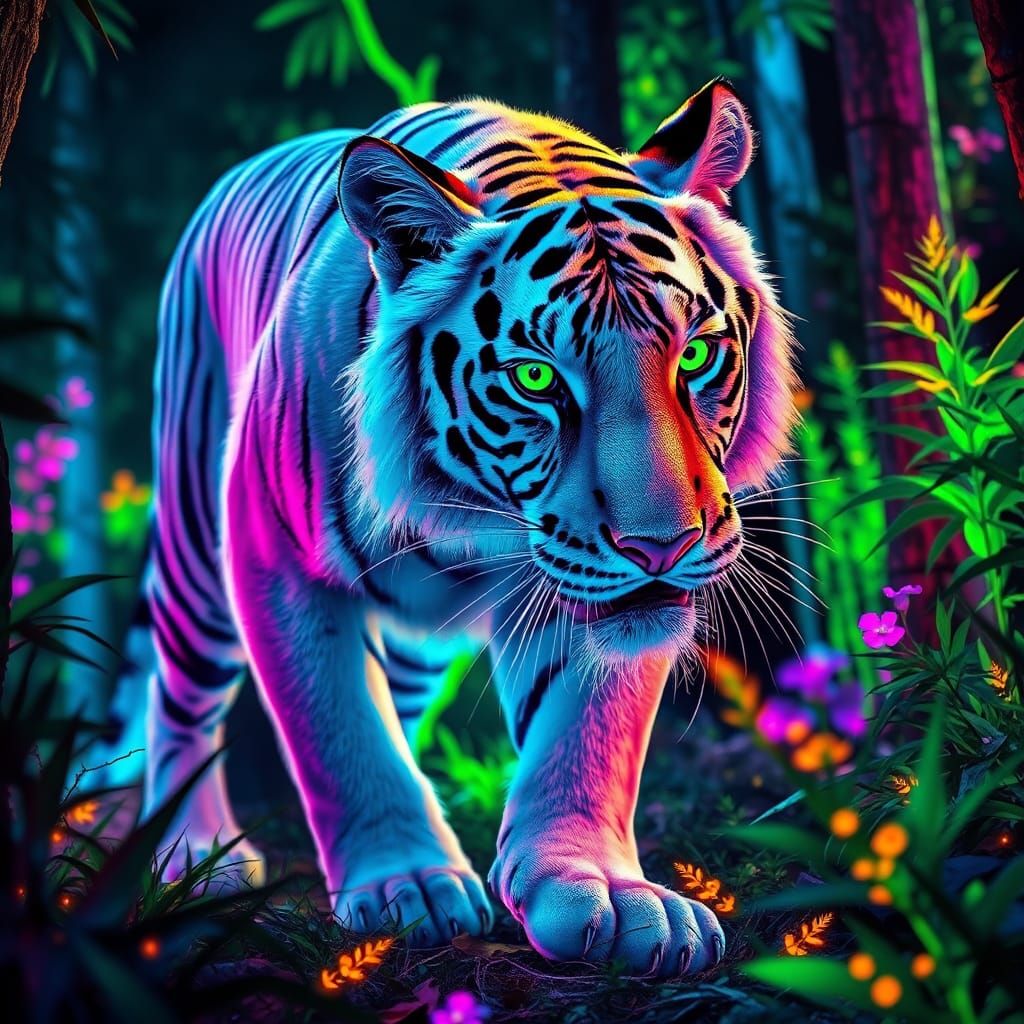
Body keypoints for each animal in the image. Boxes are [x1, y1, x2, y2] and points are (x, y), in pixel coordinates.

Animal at [126, 79, 797, 977]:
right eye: (536, 378)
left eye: (694, 355)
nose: (663, 546)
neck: (467, 517)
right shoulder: (272, 555)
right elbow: (338, 729)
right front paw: (403, 887)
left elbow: (590, 735)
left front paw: (605, 893)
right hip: (196, 550)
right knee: (180, 698)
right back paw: (193, 853)